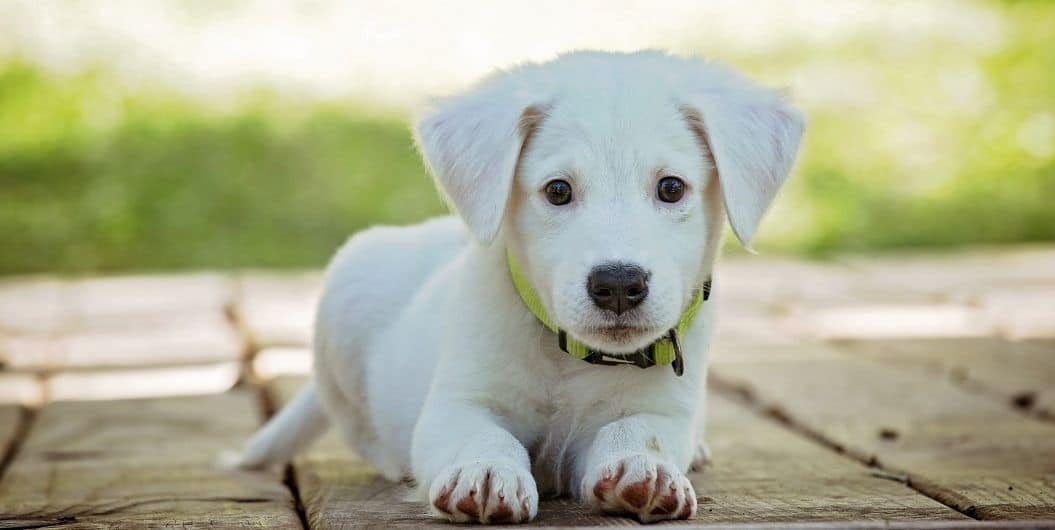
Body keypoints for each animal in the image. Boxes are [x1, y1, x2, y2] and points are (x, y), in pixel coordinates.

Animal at [237, 51, 797, 523]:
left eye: (672, 187)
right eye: (558, 190)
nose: (618, 284)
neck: (570, 358)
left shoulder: (664, 409)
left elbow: (637, 429)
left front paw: (644, 468)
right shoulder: (457, 403)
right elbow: (482, 435)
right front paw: (485, 473)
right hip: (346, 299)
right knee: (359, 427)